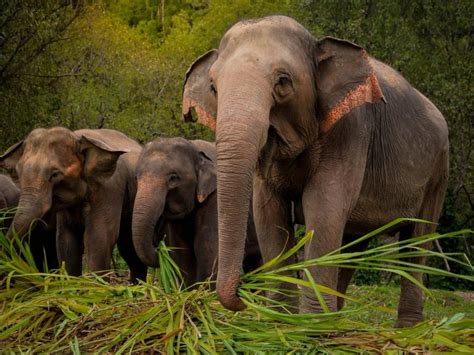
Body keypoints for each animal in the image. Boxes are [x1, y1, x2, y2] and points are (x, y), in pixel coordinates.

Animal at [0, 128, 146, 284]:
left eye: (55, 174)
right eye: (19, 173)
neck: (77, 137)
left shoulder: (109, 188)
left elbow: (99, 238)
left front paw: (96, 286)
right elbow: (66, 241)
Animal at [131, 138, 262, 288]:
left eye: (173, 178)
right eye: (136, 178)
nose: (160, 249)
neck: (196, 150)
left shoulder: (216, 200)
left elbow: (206, 250)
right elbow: (181, 253)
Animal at [183, 16, 450, 328]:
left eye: (283, 81)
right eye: (213, 87)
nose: (241, 299)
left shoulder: (350, 129)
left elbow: (323, 207)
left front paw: (308, 326)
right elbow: (268, 214)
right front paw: (282, 322)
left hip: (438, 171)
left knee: (417, 241)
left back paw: (405, 330)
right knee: (351, 243)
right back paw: (336, 320)